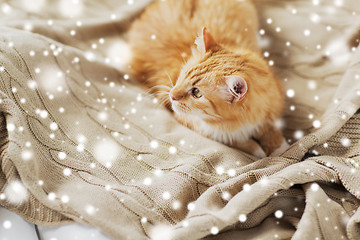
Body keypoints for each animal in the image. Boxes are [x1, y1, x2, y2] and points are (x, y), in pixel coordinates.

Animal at [128, 0, 288, 158]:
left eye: (196, 93)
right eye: (183, 75)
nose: (172, 96)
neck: (242, 122)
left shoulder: (271, 107)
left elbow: (273, 132)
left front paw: (281, 150)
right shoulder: (199, 126)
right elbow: (240, 142)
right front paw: (259, 151)